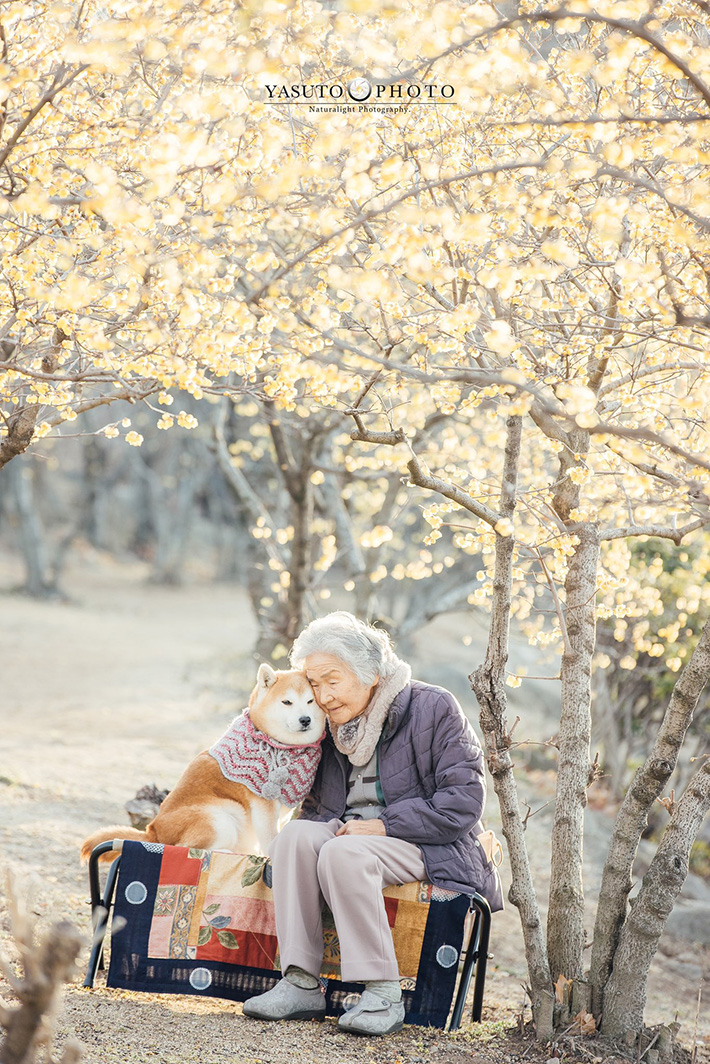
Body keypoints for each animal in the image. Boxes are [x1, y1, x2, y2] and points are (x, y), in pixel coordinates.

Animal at [81, 668, 325, 859]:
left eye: (310, 701)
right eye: (287, 702)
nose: (305, 719)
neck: (278, 744)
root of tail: (153, 832)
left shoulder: (282, 814)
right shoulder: (263, 806)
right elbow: (271, 839)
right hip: (220, 818)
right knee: (184, 849)